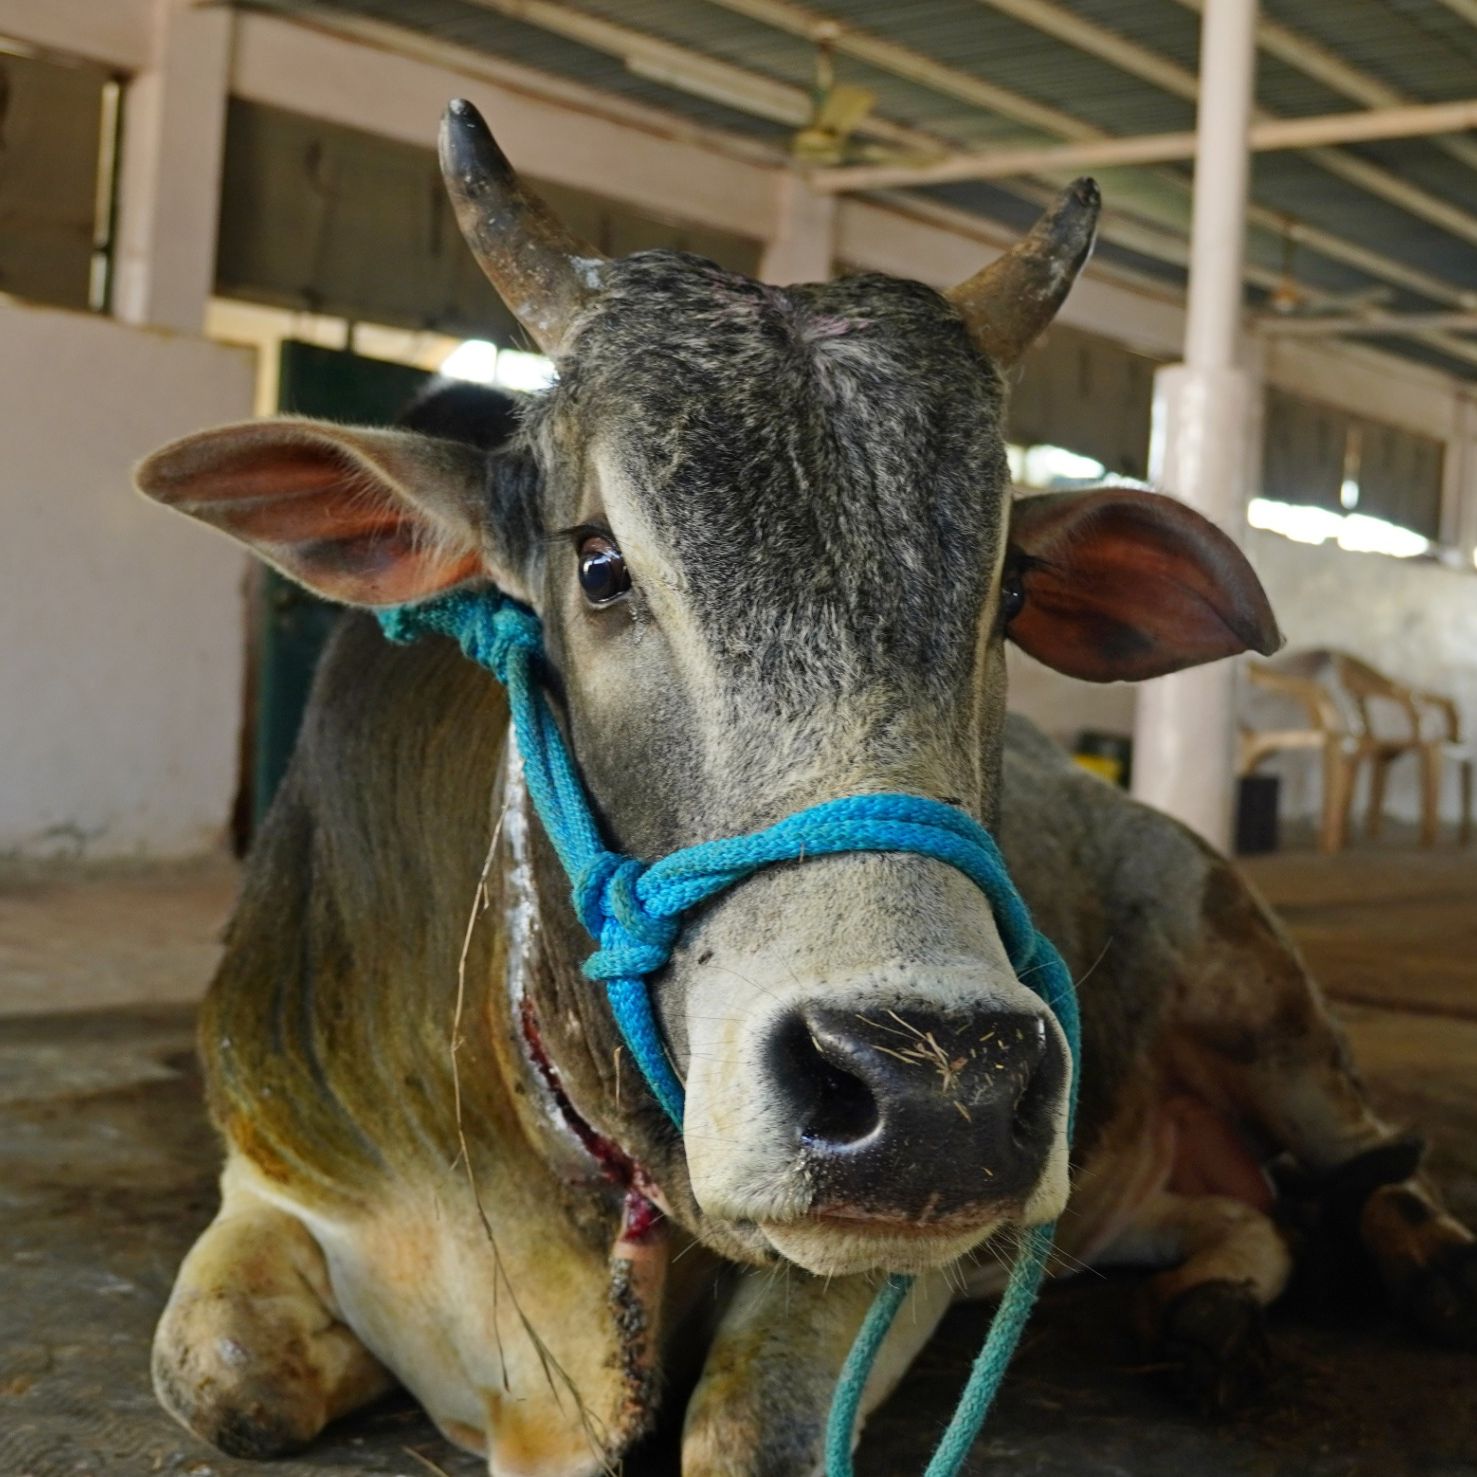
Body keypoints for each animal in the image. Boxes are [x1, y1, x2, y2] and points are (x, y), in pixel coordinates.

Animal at [133, 101, 1474, 1475]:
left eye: (1012, 592)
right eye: (600, 564)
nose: (936, 1092)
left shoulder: (903, 1255)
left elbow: (747, 1426)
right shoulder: (281, 1170)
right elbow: (224, 1377)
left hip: (1261, 996)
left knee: (1369, 1165)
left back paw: (1433, 1276)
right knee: (1248, 1221)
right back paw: (1204, 1321)